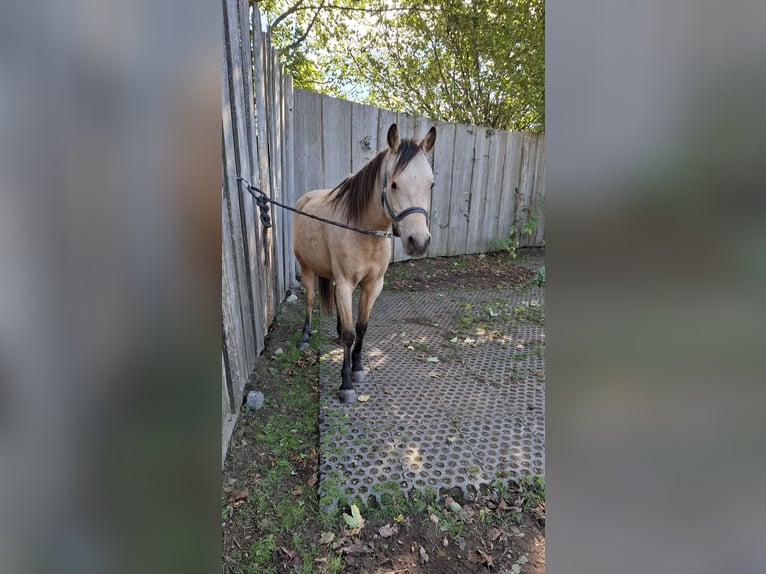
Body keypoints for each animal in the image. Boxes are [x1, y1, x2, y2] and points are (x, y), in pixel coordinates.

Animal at [294, 124, 438, 404]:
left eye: (431, 184)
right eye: (394, 184)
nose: (418, 242)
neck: (362, 230)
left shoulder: (372, 286)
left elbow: (360, 328)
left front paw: (357, 369)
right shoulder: (345, 284)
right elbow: (351, 335)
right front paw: (346, 385)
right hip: (306, 268)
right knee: (309, 300)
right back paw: (305, 337)